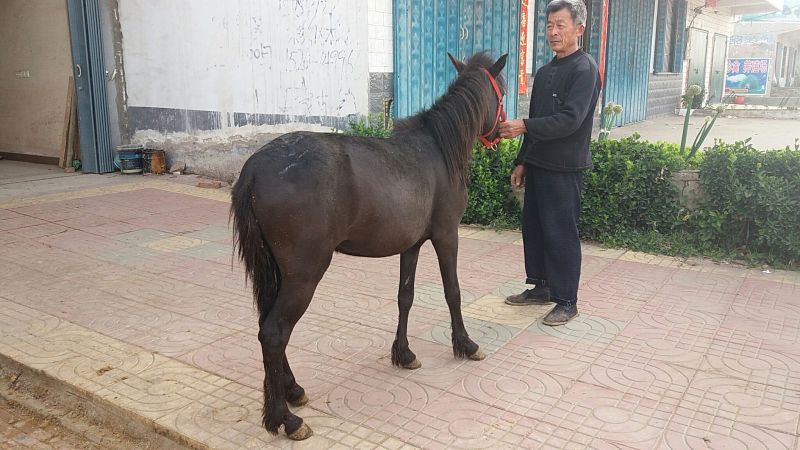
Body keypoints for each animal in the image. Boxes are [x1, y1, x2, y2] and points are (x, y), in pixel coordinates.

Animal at [231, 51, 508, 440]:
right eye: (503, 93)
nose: (503, 130)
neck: (439, 149)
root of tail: (254, 169)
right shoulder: (446, 236)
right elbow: (452, 292)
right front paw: (466, 345)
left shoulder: (412, 245)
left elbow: (405, 297)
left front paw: (404, 354)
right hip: (304, 275)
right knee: (274, 333)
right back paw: (285, 418)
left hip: (276, 271)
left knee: (266, 325)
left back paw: (292, 390)